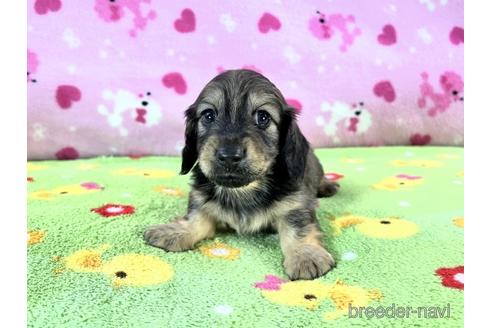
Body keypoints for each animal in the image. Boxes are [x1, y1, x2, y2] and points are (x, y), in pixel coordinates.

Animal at [144, 69, 340, 280]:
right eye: (208, 115)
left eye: (263, 117)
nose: (229, 155)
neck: (244, 190)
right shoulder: (200, 197)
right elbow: (197, 219)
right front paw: (176, 231)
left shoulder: (295, 204)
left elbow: (298, 229)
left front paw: (305, 254)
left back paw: (328, 186)